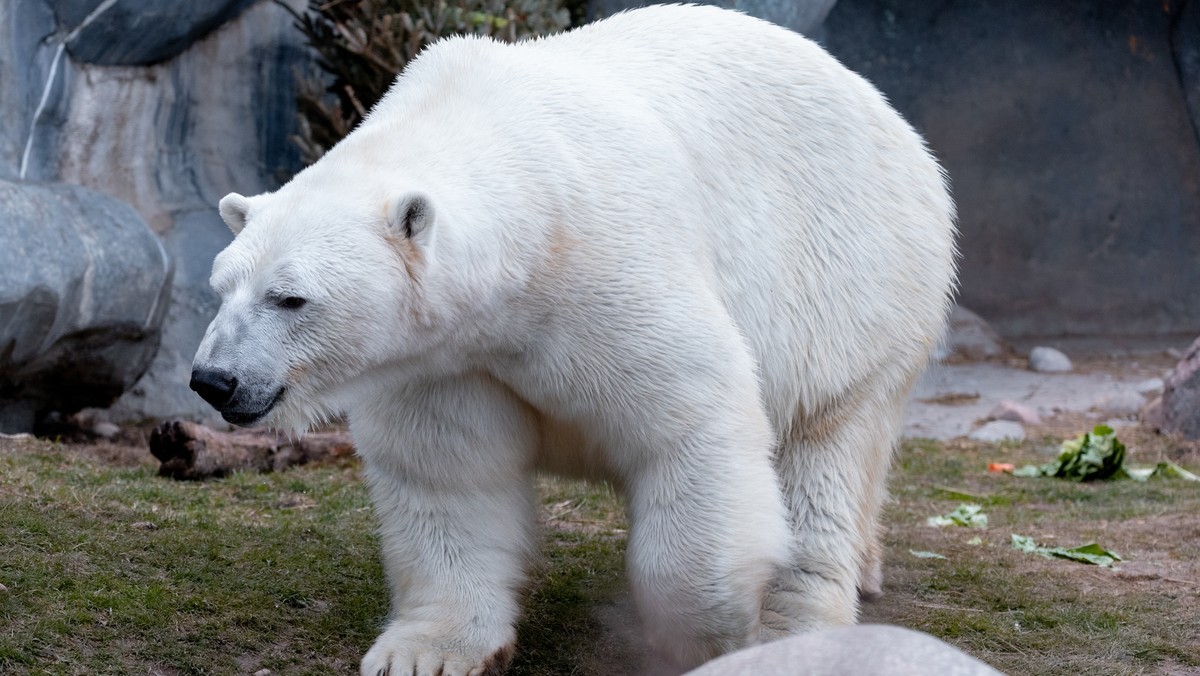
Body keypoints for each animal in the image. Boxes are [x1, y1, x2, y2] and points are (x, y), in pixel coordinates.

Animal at [189, 2, 955, 672]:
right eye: (221, 287)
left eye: (291, 297)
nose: (214, 380)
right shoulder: (444, 357)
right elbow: (447, 471)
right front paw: (427, 652)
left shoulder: (607, 270)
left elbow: (691, 424)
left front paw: (709, 631)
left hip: (847, 280)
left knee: (821, 446)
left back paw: (797, 618)